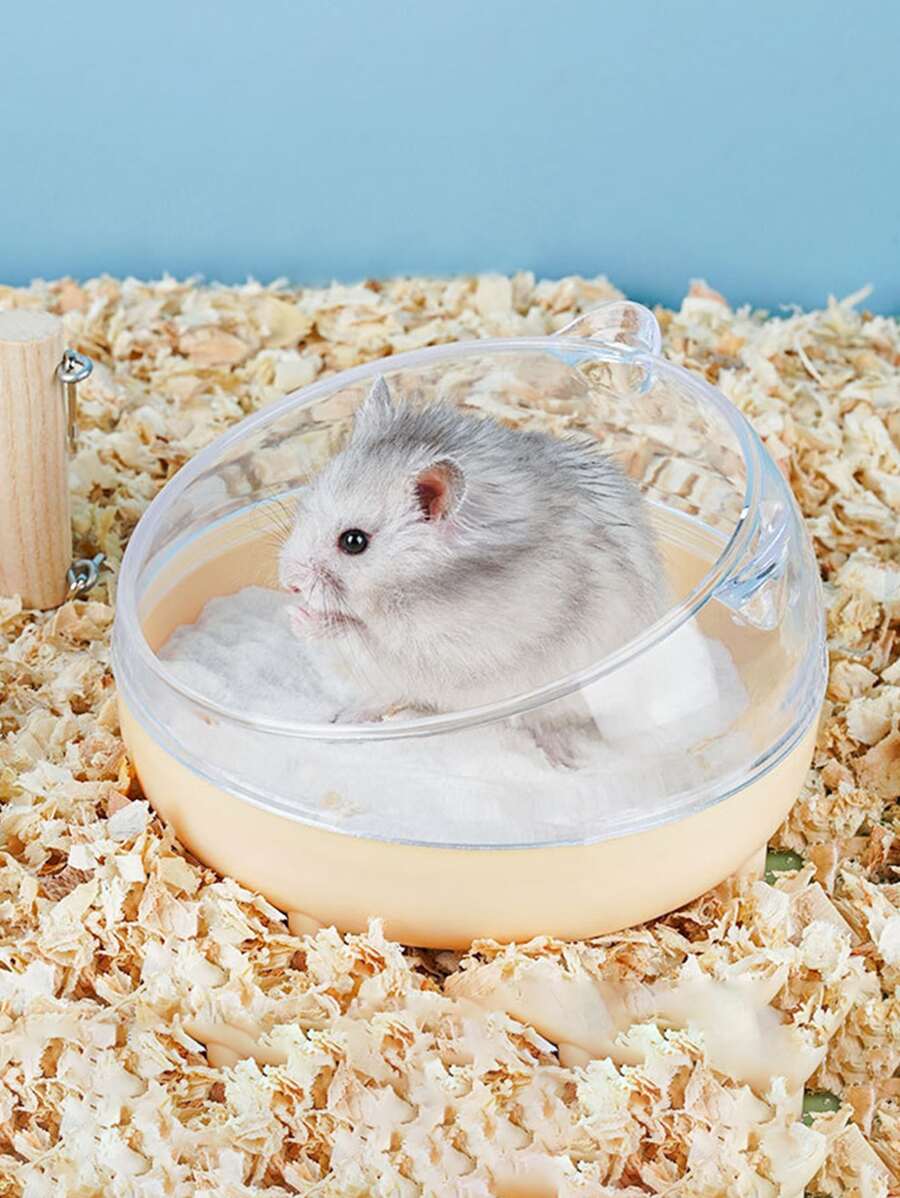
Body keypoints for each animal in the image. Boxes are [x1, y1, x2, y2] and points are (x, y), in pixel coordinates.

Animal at [278, 376, 666, 765]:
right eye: (304, 505)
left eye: (354, 541)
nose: (288, 584)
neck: (419, 586)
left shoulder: (449, 648)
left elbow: (367, 638)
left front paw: (300, 616)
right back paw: (342, 720)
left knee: (545, 722)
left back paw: (563, 761)